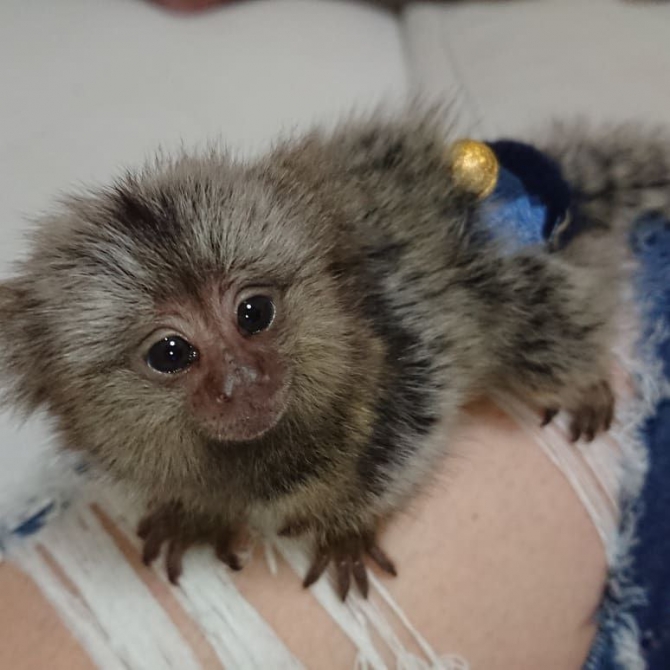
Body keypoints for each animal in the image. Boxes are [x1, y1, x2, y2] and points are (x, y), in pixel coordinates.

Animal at [0, 108, 666, 600]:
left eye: (253, 314)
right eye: (170, 353)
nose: (243, 379)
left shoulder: (405, 350)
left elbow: (406, 444)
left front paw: (347, 529)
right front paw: (196, 513)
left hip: (509, 279)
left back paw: (582, 378)